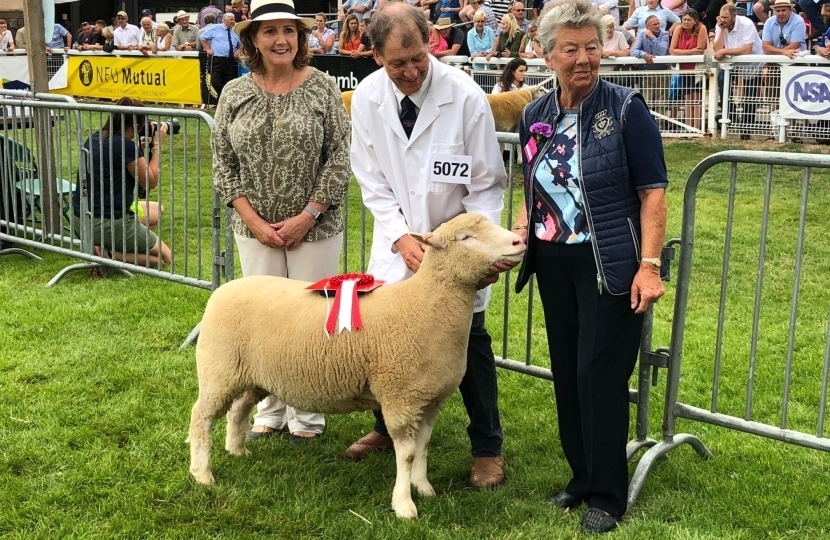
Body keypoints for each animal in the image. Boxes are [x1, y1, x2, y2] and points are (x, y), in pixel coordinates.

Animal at [189, 214, 528, 520]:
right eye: (465, 238)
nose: (518, 241)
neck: (424, 304)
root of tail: (222, 289)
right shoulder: (400, 398)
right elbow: (406, 454)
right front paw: (404, 505)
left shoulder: (430, 399)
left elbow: (423, 446)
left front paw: (424, 488)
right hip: (218, 369)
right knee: (200, 417)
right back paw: (202, 474)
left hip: (253, 374)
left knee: (239, 409)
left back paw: (237, 450)